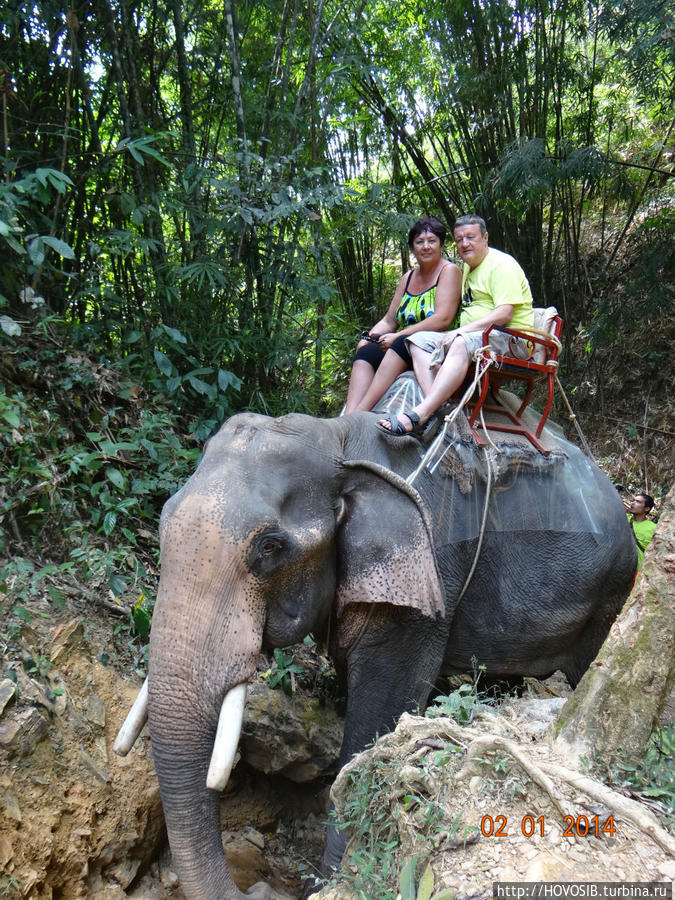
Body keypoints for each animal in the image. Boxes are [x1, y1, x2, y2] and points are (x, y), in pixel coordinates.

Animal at [115, 394, 640, 900]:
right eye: (163, 520)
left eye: (270, 547)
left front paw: (329, 880)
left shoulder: (429, 585)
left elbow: (382, 709)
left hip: (614, 593)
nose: (260, 890)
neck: (340, 442)